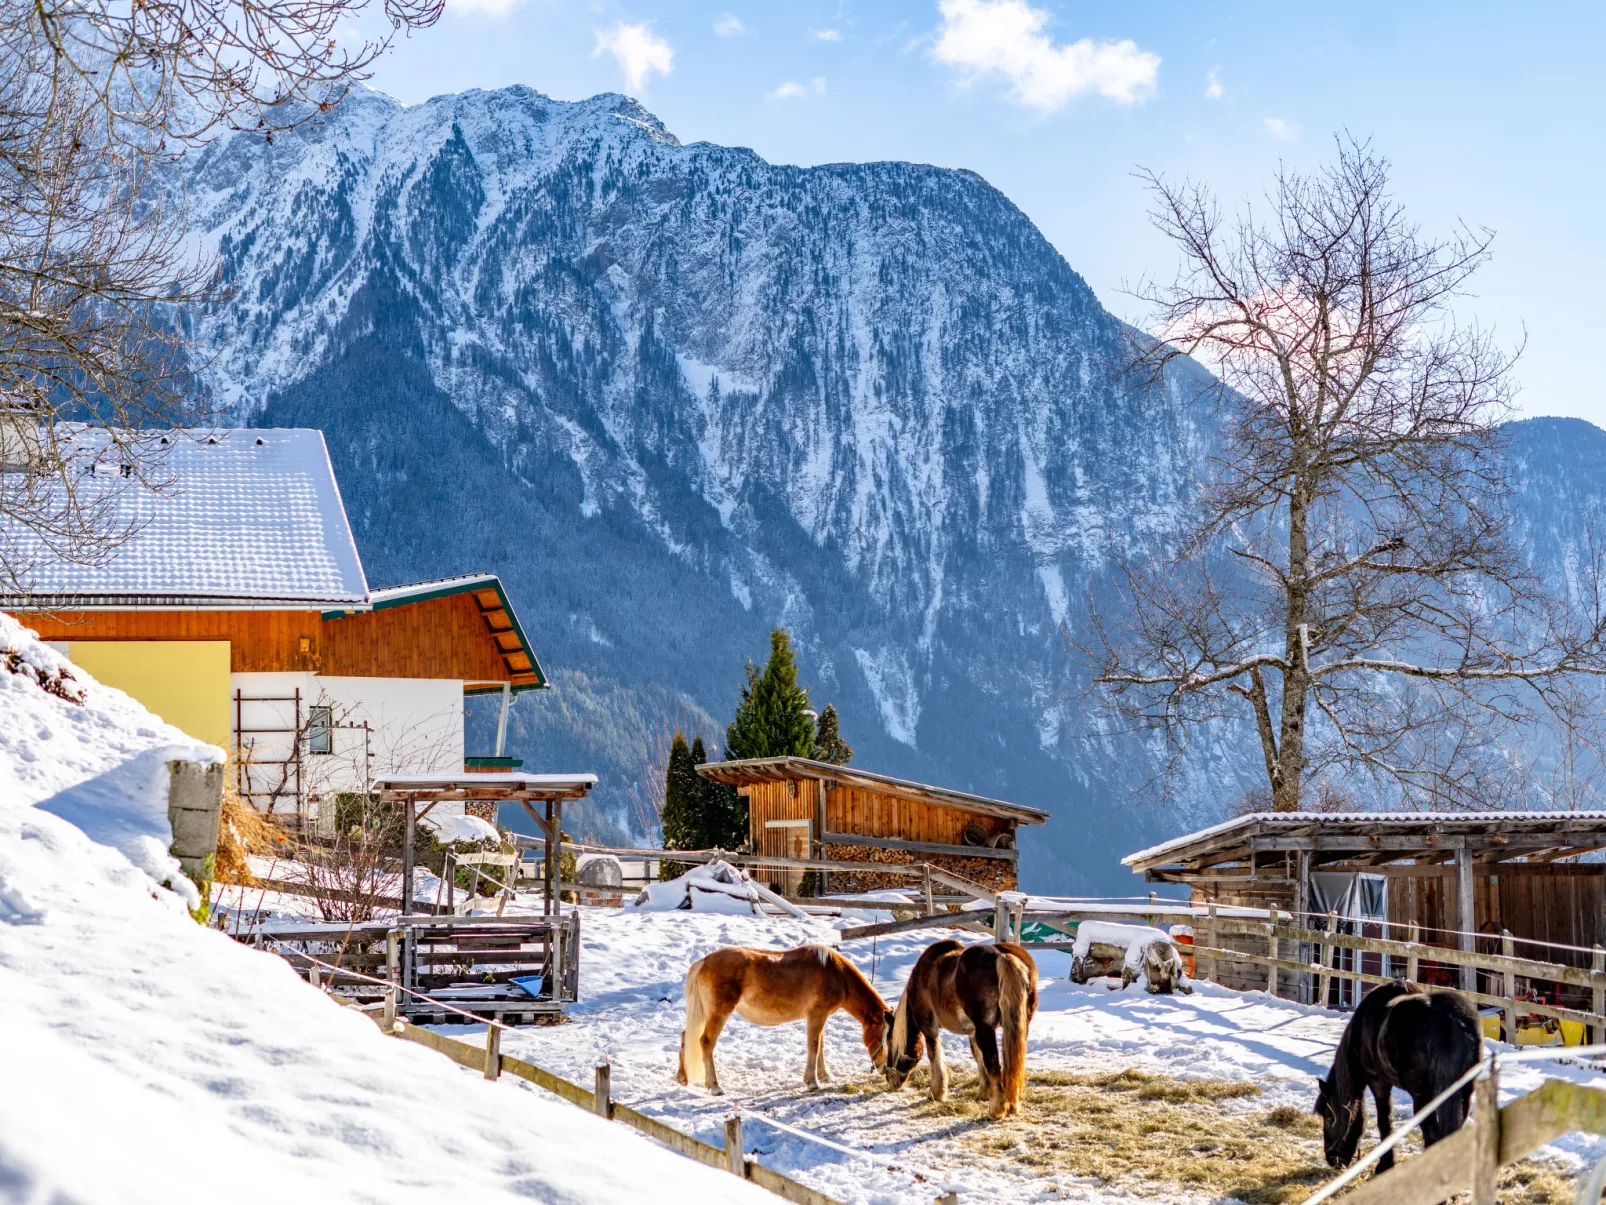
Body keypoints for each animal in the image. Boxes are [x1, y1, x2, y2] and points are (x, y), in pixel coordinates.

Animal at [677, 951, 899, 1098]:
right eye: (887, 1037)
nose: (885, 1069)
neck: (835, 973)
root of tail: (703, 961)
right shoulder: (816, 1015)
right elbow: (814, 1046)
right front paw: (812, 1082)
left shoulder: (820, 1017)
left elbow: (821, 1045)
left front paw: (825, 1076)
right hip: (718, 1014)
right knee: (706, 1042)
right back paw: (715, 1086)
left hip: (704, 1013)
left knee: (686, 1037)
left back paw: (682, 1078)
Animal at [886, 944, 1034, 1124]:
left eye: (889, 1042)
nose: (890, 1079)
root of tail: (1002, 956)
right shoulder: (973, 1031)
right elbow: (978, 1058)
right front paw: (983, 1093)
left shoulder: (929, 1027)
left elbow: (934, 1056)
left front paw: (936, 1093)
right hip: (1019, 1026)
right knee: (1014, 1063)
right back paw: (1012, 1104)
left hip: (986, 1029)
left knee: (994, 1065)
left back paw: (996, 1111)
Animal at [1316, 983, 1477, 1176]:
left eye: (1328, 1117)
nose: (1331, 1158)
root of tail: (1453, 1021)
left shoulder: (1379, 1082)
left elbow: (1384, 1122)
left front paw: (1385, 1165)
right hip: (1465, 1093)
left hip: (1423, 1097)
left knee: (1431, 1133)